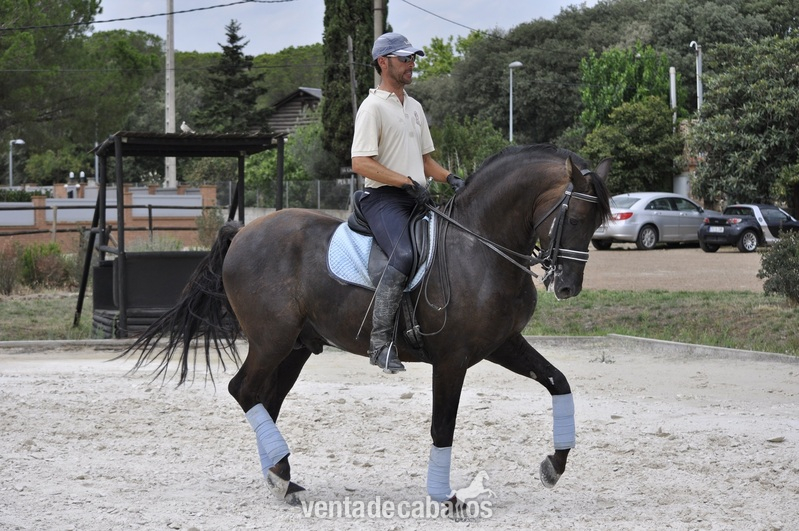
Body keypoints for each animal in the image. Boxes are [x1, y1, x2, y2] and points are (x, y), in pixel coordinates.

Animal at [126, 144, 612, 508]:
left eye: (595, 222)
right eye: (574, 217)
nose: (567, 286)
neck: (479, 245)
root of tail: (243, 232)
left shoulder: (503, 343)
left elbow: (558, 381)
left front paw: (554, 465)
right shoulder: (451, 359)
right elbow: (443, 426)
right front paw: (443, 497)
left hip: (296, 347)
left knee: (266, 398)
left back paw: (281, 476)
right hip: (271, 340)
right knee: (243, 390)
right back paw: (280, 476)